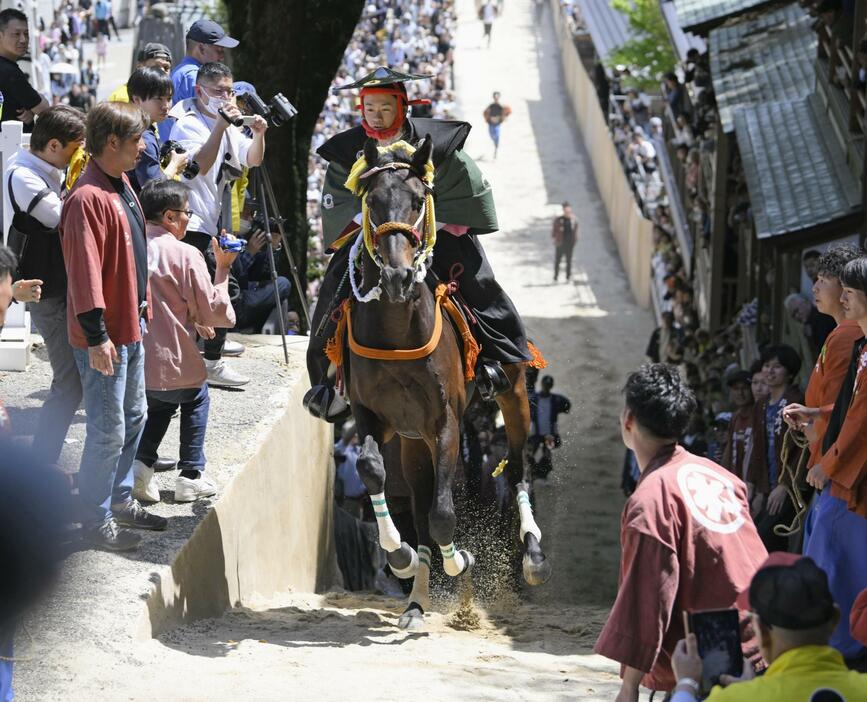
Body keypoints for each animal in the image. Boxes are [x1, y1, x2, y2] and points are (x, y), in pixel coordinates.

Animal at [338, 135, 548, 628]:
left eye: (419, 201)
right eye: (372, 202)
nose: (396, 277)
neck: (397, 329)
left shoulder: (446, 420)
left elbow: (443, 513)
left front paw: (463, 560)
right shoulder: (372, 414)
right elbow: (372, 470)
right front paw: (400, 557)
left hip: (513, 393)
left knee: (517, 467)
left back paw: (532, 553)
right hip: (413, 439)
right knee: (417, 500)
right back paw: (416, 600)